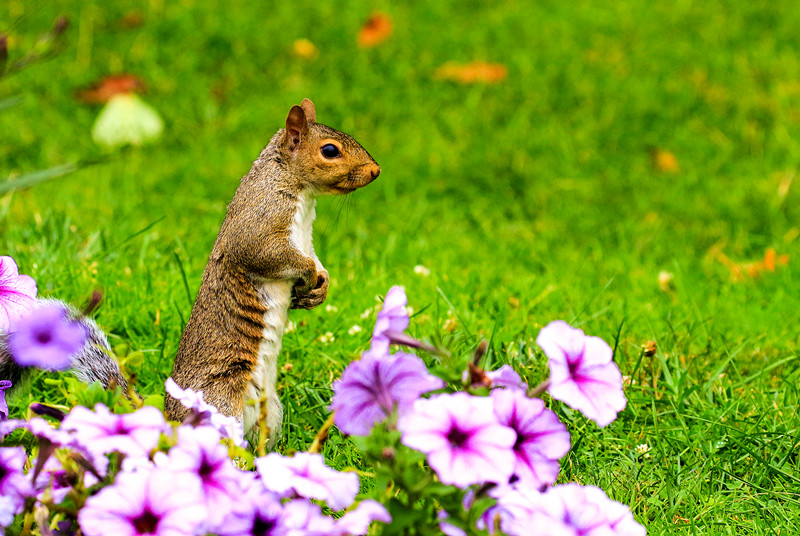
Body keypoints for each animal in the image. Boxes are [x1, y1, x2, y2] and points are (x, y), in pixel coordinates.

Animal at [163, 98, 382, 446]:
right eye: (330, 150)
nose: (375, 171)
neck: (295, 186)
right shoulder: (260, 222)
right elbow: (270, 254)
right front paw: (308, 277)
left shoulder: (305, 239)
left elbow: (315, 259)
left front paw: (320, 288)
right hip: (219, 402)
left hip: (271, 413)